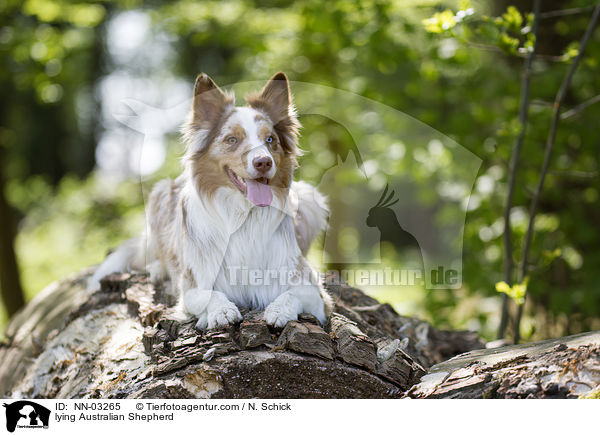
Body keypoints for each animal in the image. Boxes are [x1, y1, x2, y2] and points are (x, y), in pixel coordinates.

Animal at [89, 72, 332, 330]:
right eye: (232, 139)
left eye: (270, 139)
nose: (263, 162)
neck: (242, 215)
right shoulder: (193, 284)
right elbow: (208, 294)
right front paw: (221, 311)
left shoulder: (313, 290)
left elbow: (296, 293)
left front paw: (278, 310)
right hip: (159, 192)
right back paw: (157, 268)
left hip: (308, 197)